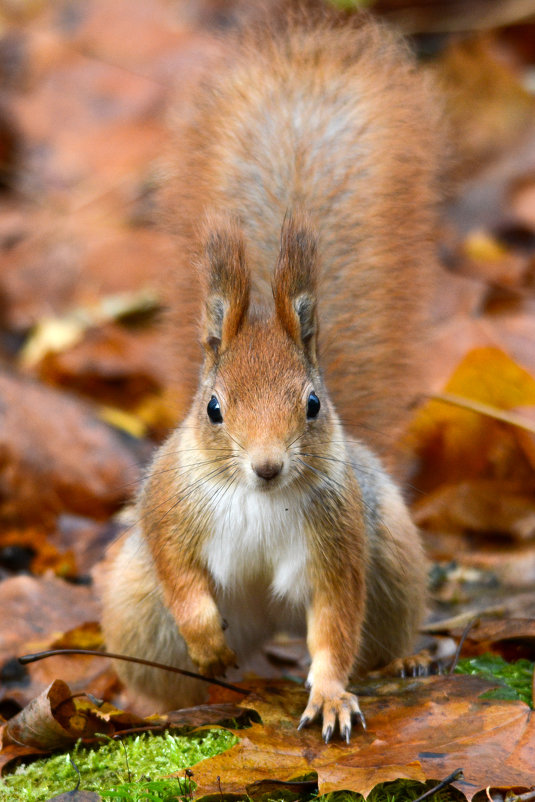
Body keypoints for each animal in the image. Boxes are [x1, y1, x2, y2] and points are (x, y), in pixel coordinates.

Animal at [100, 7, 440, 744]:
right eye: (214, 408)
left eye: (312, 403)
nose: (266, 466)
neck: (257, 499)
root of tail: (263, 636)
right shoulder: (166, 506)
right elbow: (179, 573)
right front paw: (206, 636)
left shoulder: (339, 541)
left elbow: (335, 625)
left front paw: (331, 696)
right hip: (137, 611)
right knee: (169, 667)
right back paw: (164, 699)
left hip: (394, 563)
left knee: (373, 634)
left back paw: (405, 662)